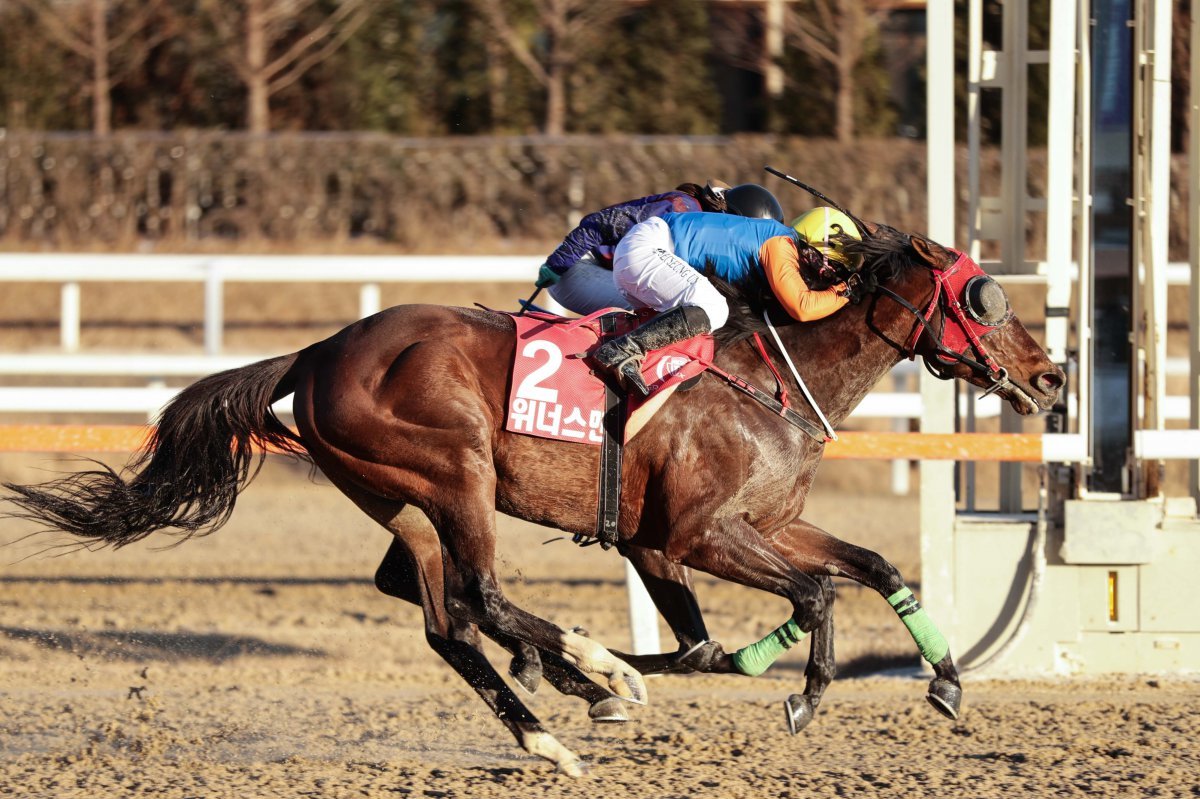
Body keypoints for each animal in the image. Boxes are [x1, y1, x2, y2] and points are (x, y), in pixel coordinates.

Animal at [7, 219, 1060, 772]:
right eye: (986, 298)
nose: (1050, 377)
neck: (767, 377)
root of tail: (318, 350)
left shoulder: (764, 523)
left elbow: (858, 569)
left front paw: (946, 678)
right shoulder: (689, 536)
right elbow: (803, 599)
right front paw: (789, 688)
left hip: (401, 499)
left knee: (443, 615)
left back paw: (551, 724)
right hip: (458, 472)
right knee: (480, 596)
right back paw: (586, 672)